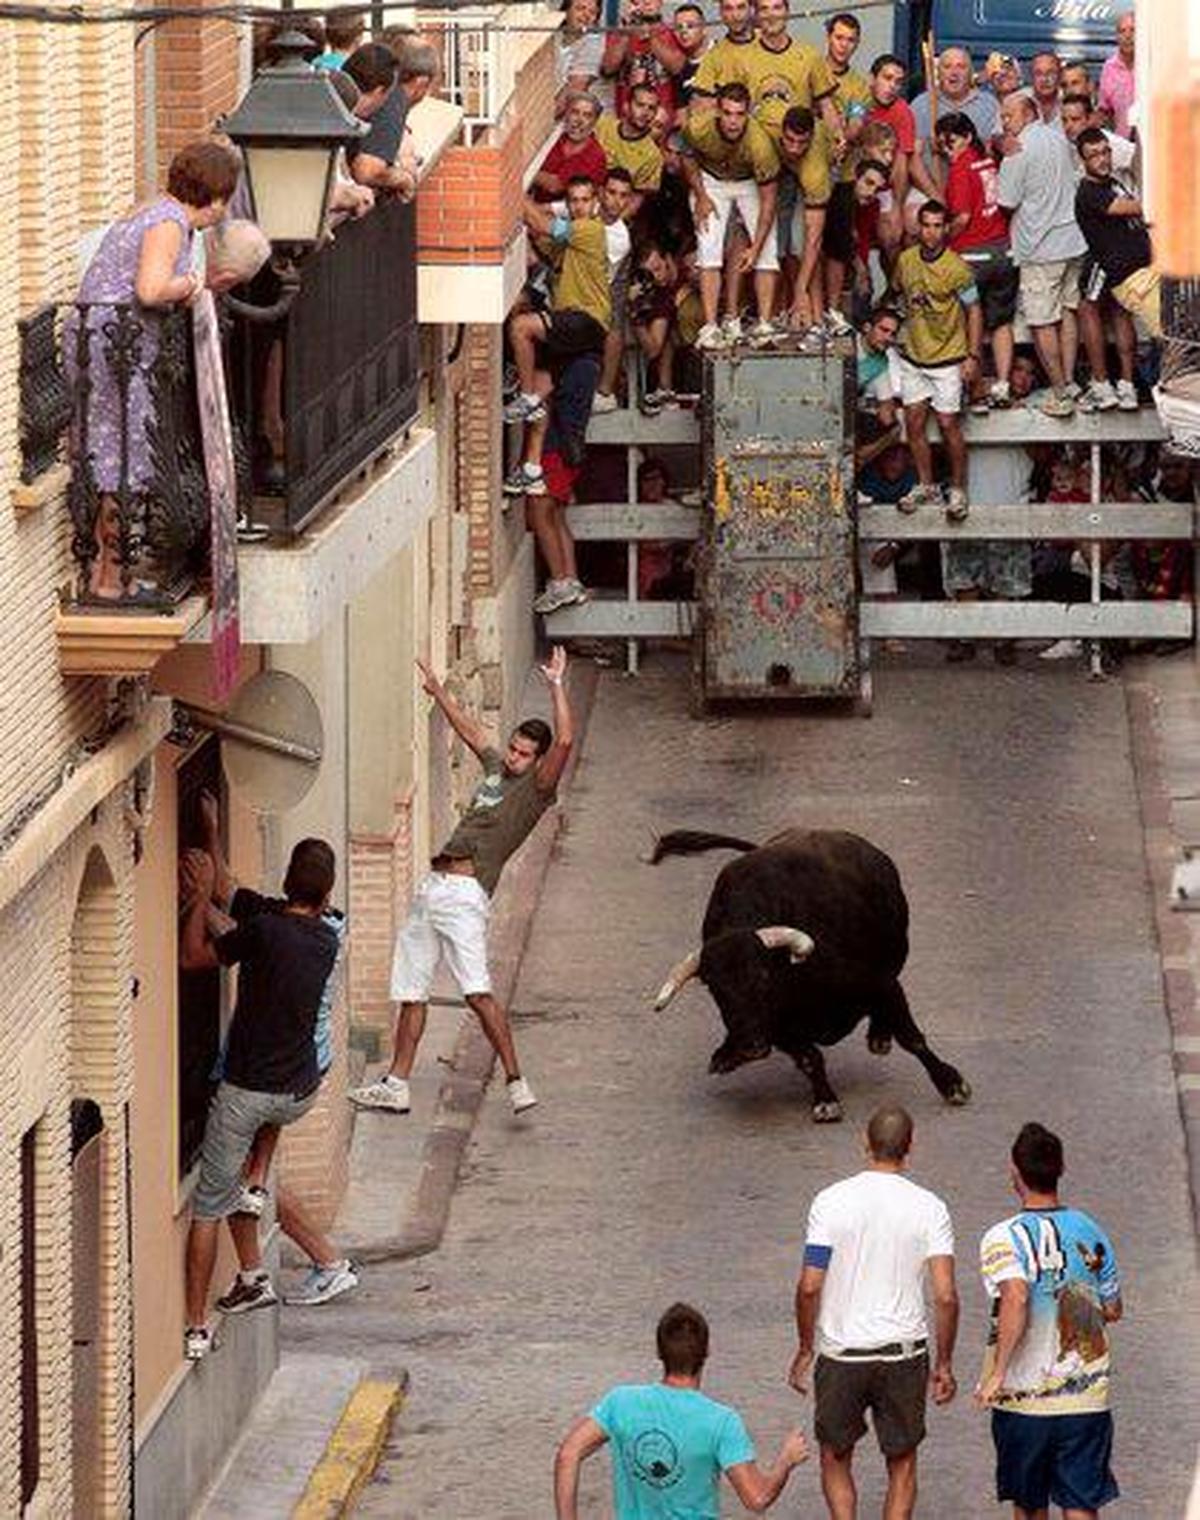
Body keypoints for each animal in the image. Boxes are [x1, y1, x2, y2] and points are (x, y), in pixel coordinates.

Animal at [644, 826, 973, 1124]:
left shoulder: (880, 982)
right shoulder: (778, 1026)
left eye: (763, 976)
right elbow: (809, 1058)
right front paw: (825, 1100)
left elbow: (912, 1038)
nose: (750, 1046)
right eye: (715, 989)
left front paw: (951, 1083)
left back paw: (879, 1035)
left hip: (897, 953)